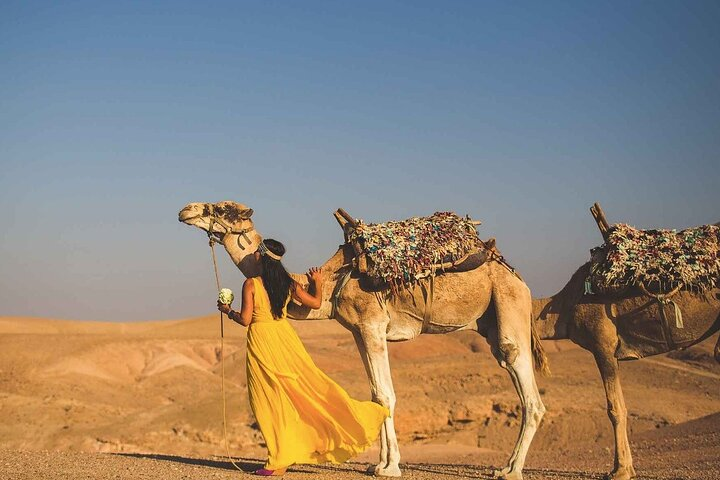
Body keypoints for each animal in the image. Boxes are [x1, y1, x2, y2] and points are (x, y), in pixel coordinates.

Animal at [178, 200, 549, 479]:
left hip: (508, 303)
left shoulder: (372, 325)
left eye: (223, 208)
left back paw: (510, 471)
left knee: (526, 385)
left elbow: (386, 395)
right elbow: (375, 394)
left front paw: (390, 468)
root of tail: (517, 276)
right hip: (490, 320)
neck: (332, 282)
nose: (186, 210)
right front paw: (378, 463)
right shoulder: (358, 331)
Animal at [532, 211, 720, 480]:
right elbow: (620, 404)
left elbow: (615, 408)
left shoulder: (602, 346)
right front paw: (626, 467)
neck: (563, 306)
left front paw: (620, 470)